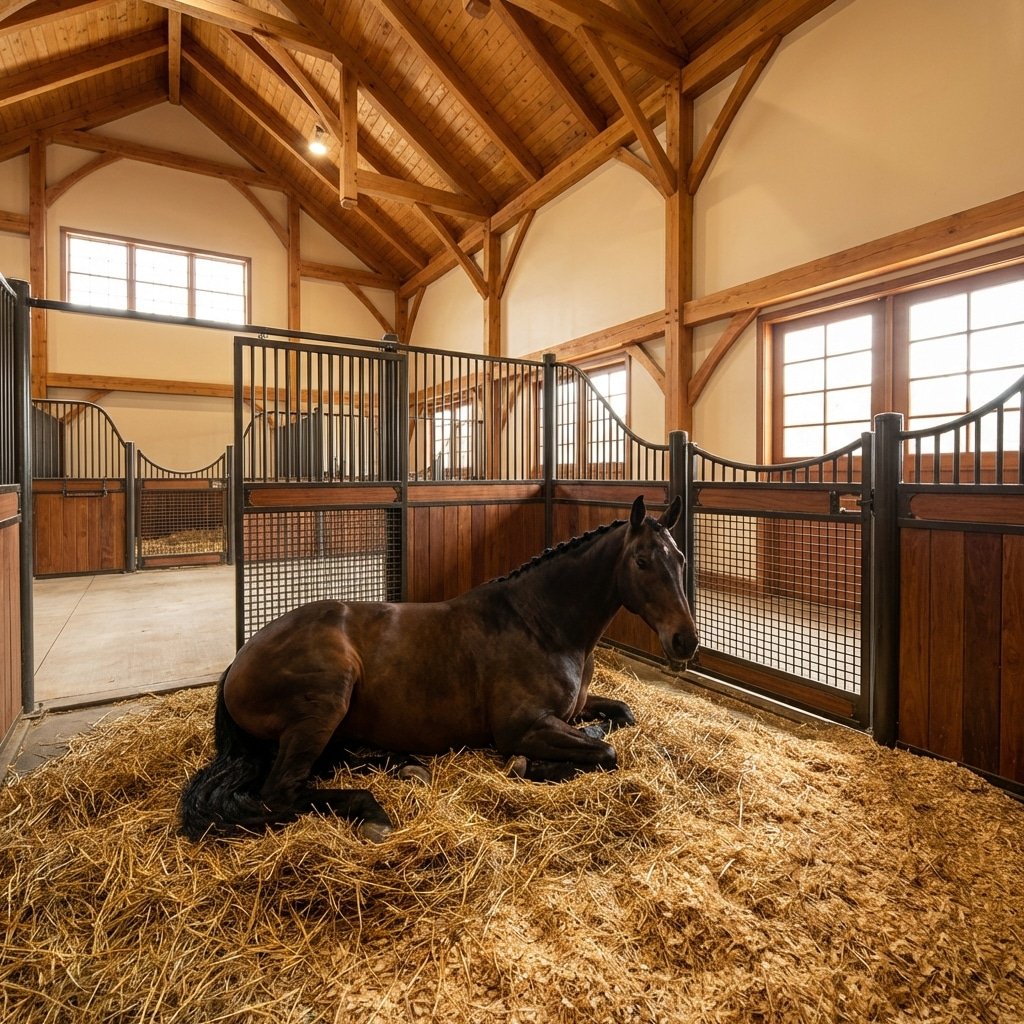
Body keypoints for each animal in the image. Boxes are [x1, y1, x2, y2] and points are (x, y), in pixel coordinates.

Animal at [179, 495, 699, 841]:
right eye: (642, 560)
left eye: (680, 557)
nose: (686, 641)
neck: (542, 624)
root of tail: (238, 662)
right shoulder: (523, 727)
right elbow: (605, 751)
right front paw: (528, 764)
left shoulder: (574, 708)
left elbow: (622, 715)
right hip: (326, 701)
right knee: (282, 792)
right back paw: (373, 812)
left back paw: (408, 767)